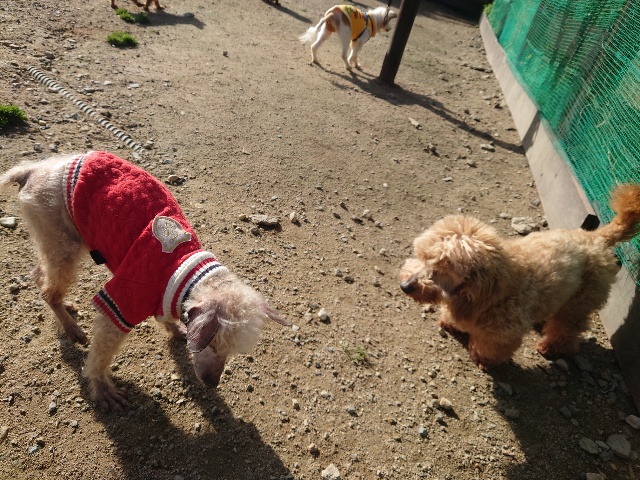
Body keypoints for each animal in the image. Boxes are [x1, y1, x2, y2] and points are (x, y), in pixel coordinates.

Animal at [0, 151, 289, 411]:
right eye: (214, 344)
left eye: (231, 351)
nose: (212, 383)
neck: (183, 268)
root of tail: (32, 170)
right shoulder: (126, 296)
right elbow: (102, 349)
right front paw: (103, 390)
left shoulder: (163, 293)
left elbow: (166, 317)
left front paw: (176, 329)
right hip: (62, 240)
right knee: (50, 290)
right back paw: (71, 327)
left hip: (55, 241)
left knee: (39, 275)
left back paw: (66, 308)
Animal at [399, 184, 640, 370]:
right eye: (422, 257)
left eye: (443, 269)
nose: (405, 286)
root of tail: (597, 238)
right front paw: (450, 323)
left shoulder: (504, 333)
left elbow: (492, 348)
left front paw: (483, 360)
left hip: (579, 302)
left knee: (567, 329)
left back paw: (550, 347)